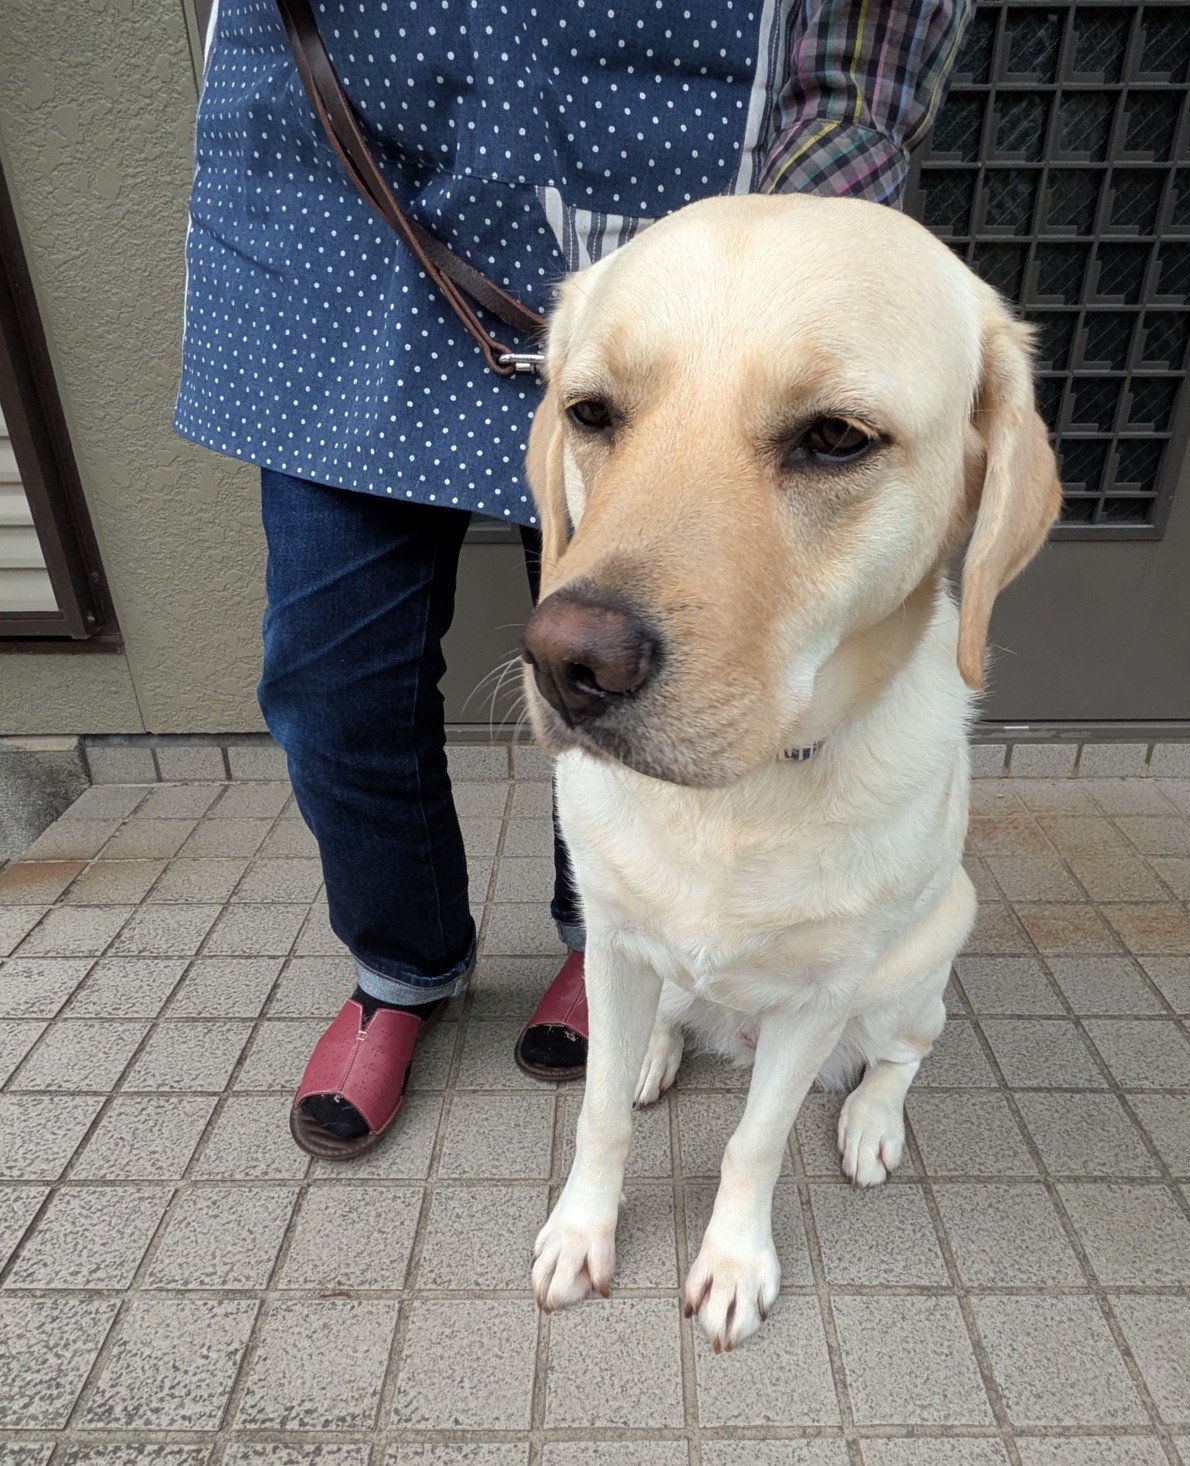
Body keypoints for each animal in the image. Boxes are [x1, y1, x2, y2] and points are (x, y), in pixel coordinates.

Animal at [519, 193, 1061, 1351]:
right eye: (589, 412)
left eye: (834, 438)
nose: (569, 662)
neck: (735, 801)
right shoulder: (613, 938)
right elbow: (596, 1114)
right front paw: (581, 1235)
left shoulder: (819, 996)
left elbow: (753, 1143)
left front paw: (731, 1265)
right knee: (664, 1026)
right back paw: (653, 1049)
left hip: (920, 957)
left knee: (905, 1051)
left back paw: (867, 1121)